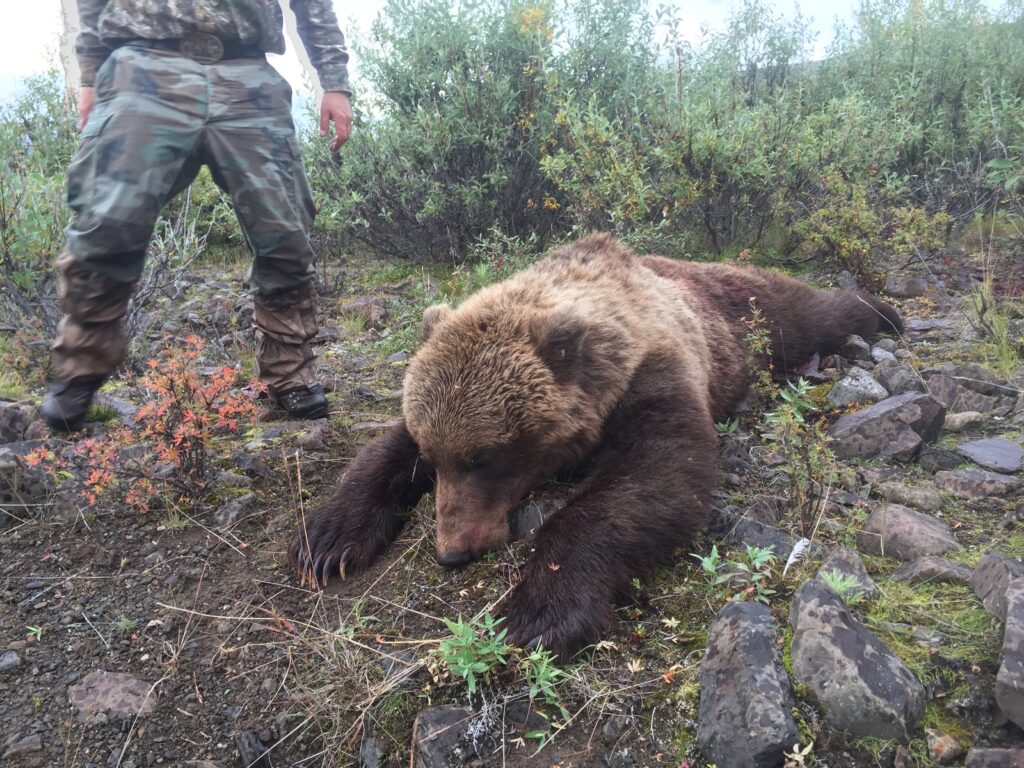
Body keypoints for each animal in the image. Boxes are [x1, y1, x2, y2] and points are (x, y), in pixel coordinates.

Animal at [288, 236, 897, 663]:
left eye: (486, 457)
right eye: (437, 458)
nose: (452, 551)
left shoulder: (655, 373)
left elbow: (662, 475)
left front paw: (538, 609)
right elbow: (384, 450)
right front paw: (328, 540)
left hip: (754, 314)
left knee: (816, 313)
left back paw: (882, 309)